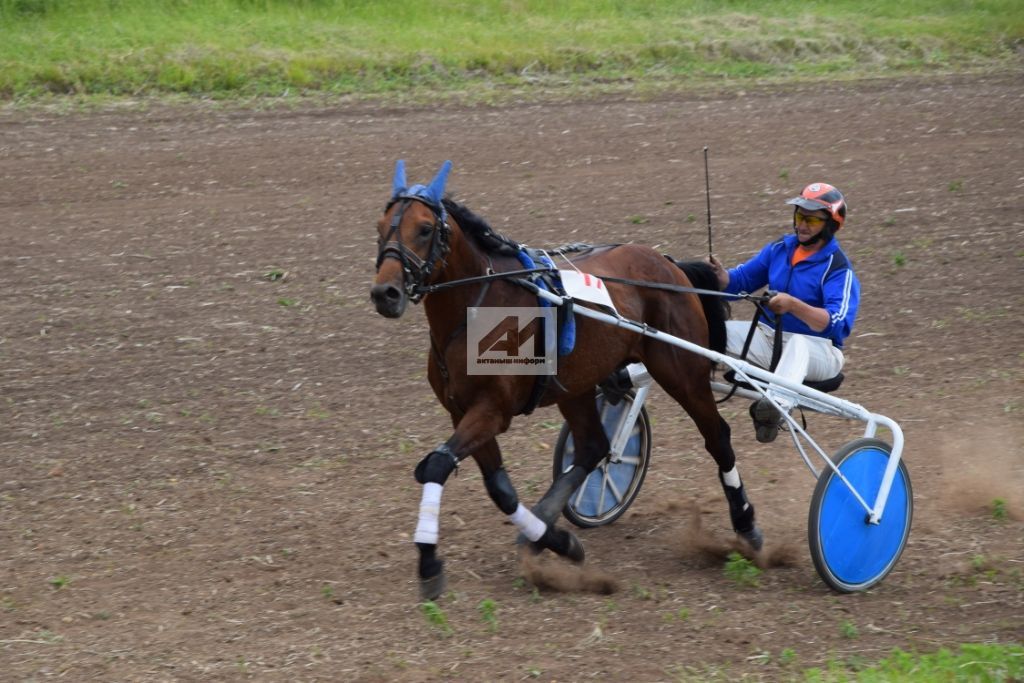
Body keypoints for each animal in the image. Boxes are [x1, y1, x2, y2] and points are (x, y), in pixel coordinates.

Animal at [368, 160, 761, 598]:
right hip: (576, 386)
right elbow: (499, 488)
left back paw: (746, 525)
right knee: (593, 447)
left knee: (717, 437)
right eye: (380, 226)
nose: (385, 293)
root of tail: (667, 262)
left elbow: (436, 466)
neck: (477, 308)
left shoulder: (493, 410)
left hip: (682, 372)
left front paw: (429, 563)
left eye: (423, 228)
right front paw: (556, 540)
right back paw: (544, 529)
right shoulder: (461, 410)